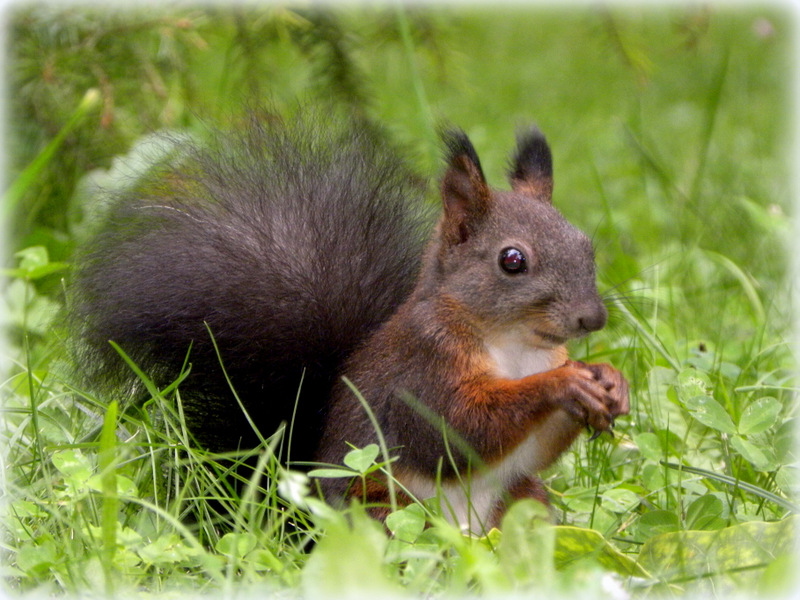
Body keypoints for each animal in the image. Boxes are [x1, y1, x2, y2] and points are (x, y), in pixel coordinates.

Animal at [72, 110, 628, 532]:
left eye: (585, 244)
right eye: (512, 261)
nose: (593, 318)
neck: (516, 345)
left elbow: (536, 452)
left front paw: (610, 381)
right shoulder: (422, 374)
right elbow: (461, 431)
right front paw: (564, 383)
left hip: (521, 502)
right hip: (380, 510)